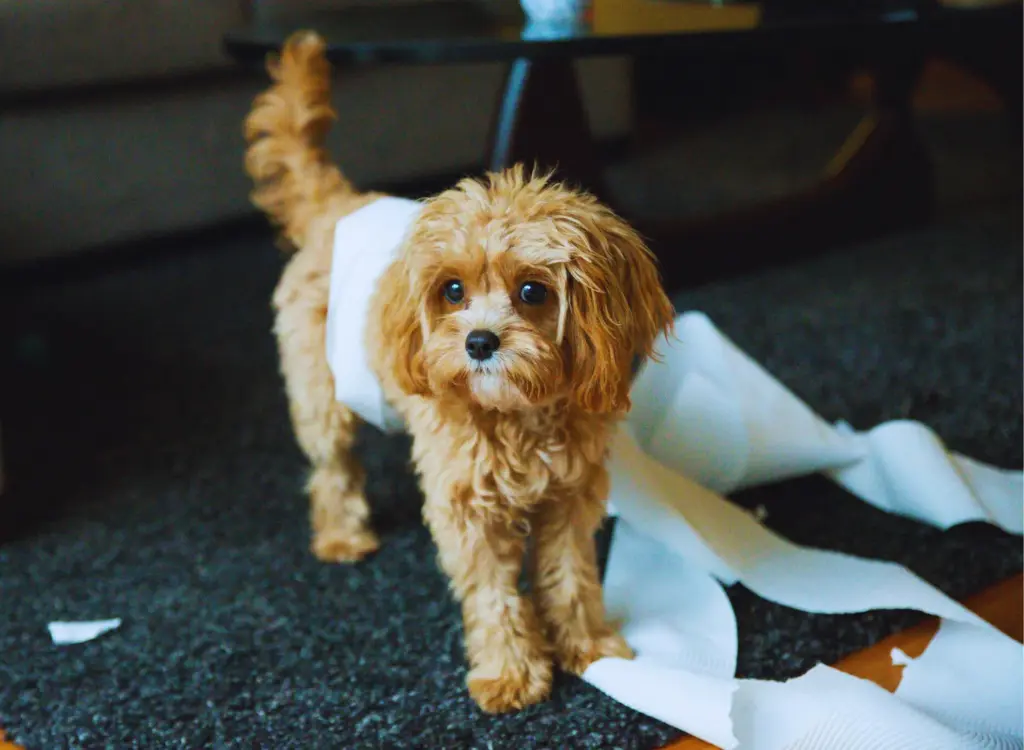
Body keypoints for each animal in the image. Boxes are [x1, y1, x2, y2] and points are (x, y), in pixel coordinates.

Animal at [239, 32, 671, 713]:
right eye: (452, 290)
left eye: (532, 290)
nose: (479, 341)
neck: (519, 418)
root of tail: (337, 207)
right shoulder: (467, 506)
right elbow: (493, 596)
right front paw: (511, 673)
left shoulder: (569, 496)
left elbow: (571, 576)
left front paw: (590, 646)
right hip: (318, 393)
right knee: (333, 467)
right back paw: (342, 538)